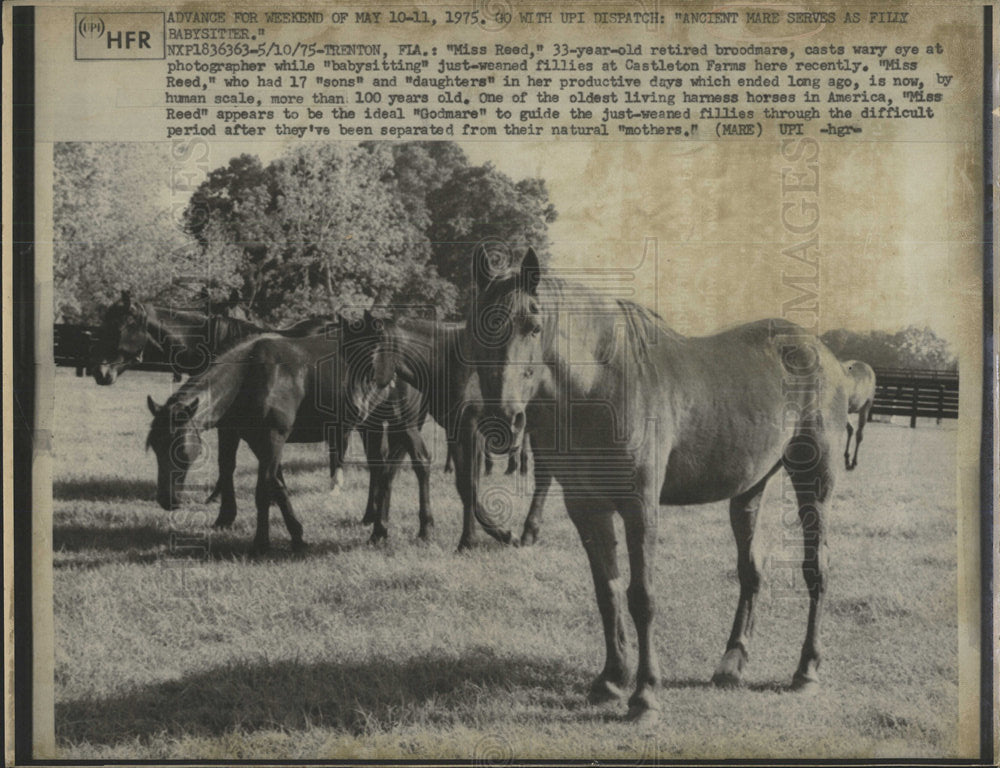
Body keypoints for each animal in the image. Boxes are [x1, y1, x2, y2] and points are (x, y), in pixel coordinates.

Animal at [144, 324, 390, 552]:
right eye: (155, 447)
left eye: (180, 450)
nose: (167, 500)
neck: (249, 375)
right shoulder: (246, 438)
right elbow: (270, 483)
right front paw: (296, 535)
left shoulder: (272, 439)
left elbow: (263, 489)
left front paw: (261, 543)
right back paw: (369, 517)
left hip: (374, 425)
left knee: (380, 469)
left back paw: (376, 524)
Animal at [468, 248, 852, 728]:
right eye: (476, 326)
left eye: (533, 326)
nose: (502, 423)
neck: (602, 383)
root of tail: (823, 354)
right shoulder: (587, 508)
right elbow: (607, 592)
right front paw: (612, 679)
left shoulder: (640, 507)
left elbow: (641, 596)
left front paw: (645, 694)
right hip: (749, 490)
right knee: (751, 571)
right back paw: (731, 664)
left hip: (814, 485)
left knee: (816, 569)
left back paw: (806, 670)